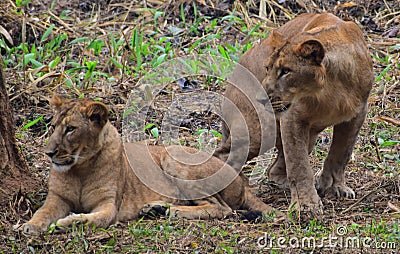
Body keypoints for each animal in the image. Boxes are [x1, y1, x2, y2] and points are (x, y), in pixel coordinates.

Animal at [20, 94, 280, 233]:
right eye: (53, 127)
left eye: (71, 129)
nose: (48, 153)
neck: (80, 169)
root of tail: (241, 180)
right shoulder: (57, 199)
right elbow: (42, 212)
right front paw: (28, 227)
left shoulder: (108, 205)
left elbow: (93, 218)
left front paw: (65, 222)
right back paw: (157, 208)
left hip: (173, 156)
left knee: (221, 208)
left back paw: (173, 211)